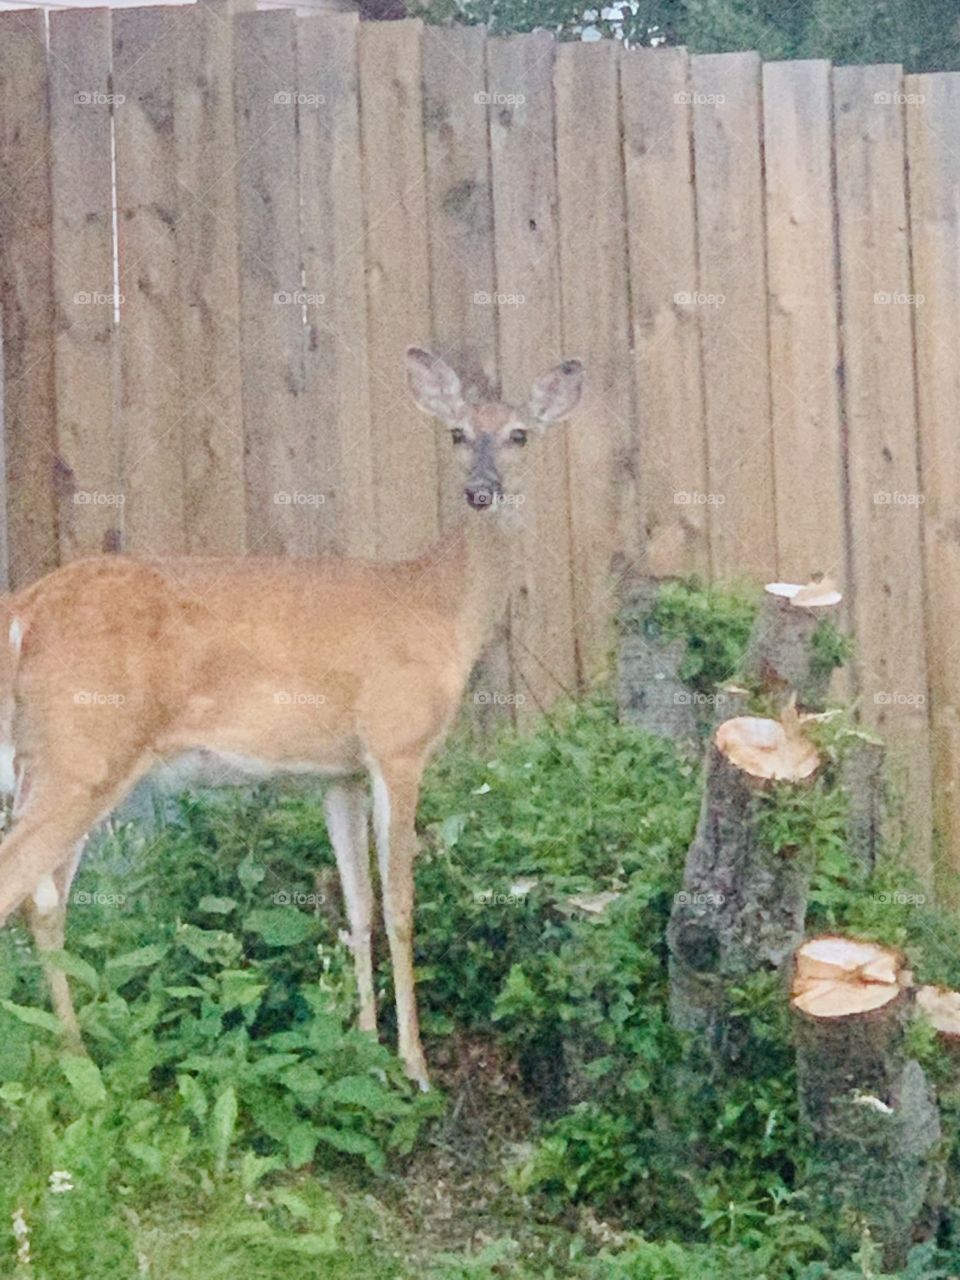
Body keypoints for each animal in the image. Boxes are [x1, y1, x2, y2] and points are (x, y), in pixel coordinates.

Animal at [0, 347, 583, 1090]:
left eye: (519, 435)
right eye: (456, 433)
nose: (482, 491)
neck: (438, 605)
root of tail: (25, 610)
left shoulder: (338, 773)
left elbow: (357, 905)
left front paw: (364, 1047)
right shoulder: (397, 742)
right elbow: (400, 906)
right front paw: (415, 1067)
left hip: (52, 760)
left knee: (44, 901)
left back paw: (76, 1061)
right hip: (84, 749)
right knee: (20, 885)